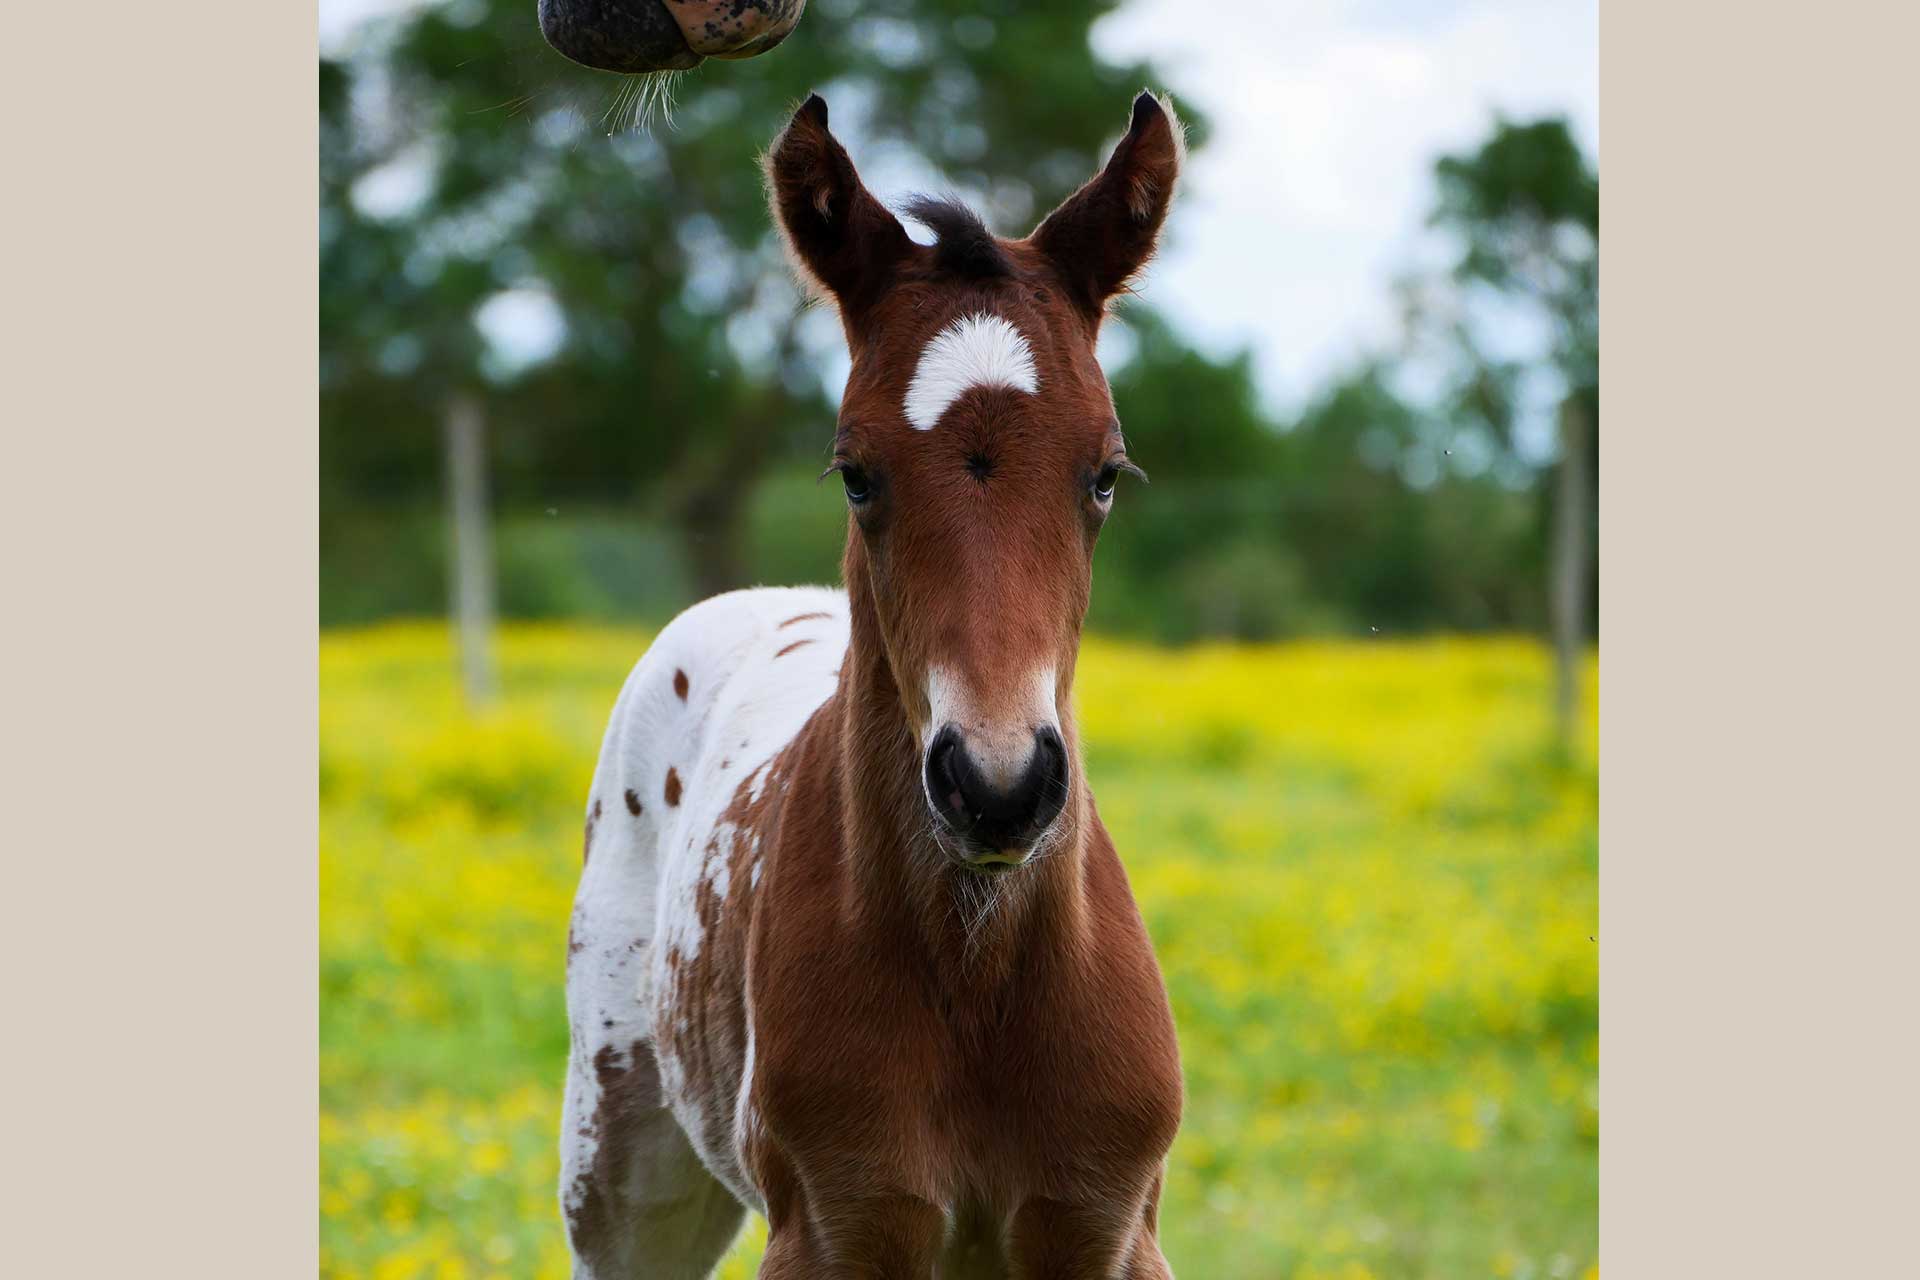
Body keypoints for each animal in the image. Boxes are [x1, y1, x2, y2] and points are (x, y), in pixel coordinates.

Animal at [560, 92, 1182, 1280]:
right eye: (854, 472)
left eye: (1106, 474)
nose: (997, 785)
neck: (981, 978)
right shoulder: (836, 1228)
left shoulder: (1104, 1227)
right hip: (620, 1169)